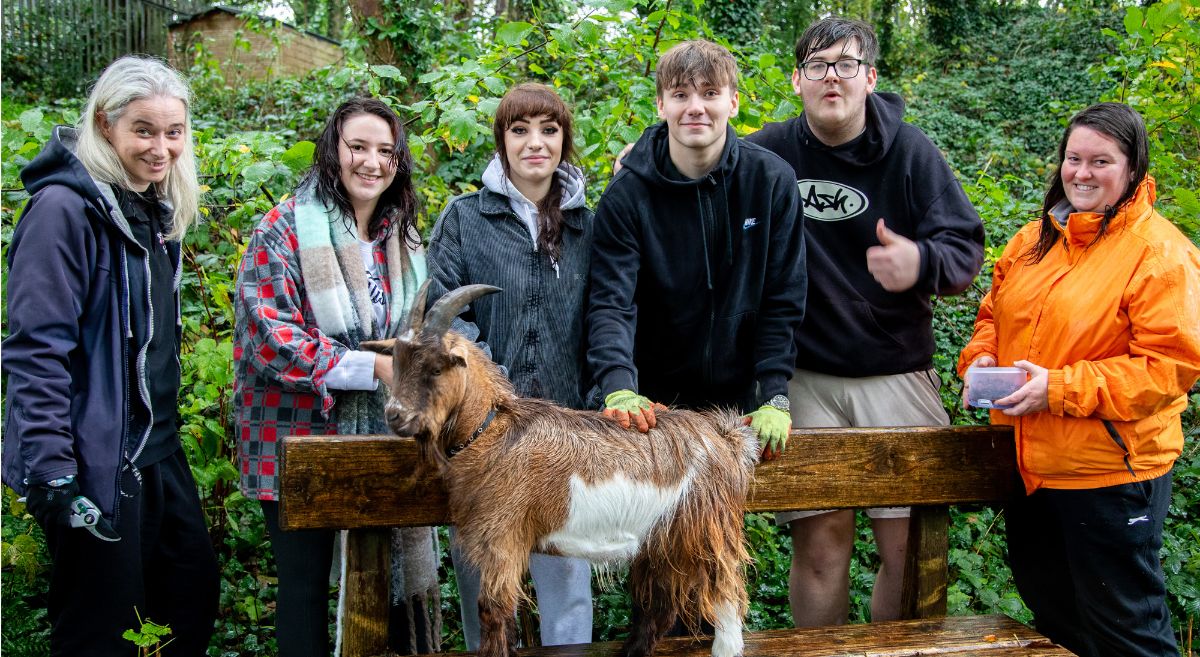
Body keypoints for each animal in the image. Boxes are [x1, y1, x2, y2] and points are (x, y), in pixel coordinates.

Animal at [362, 284, 758, 657]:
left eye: (435, 367)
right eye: (396, 364)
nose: (395, 415)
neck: (491, 432)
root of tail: (723, 438)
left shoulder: (502, 538)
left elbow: (492, 610)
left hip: (705, 528)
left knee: (725, 591)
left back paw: (724, 648)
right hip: (660, 540)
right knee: (660, 601)